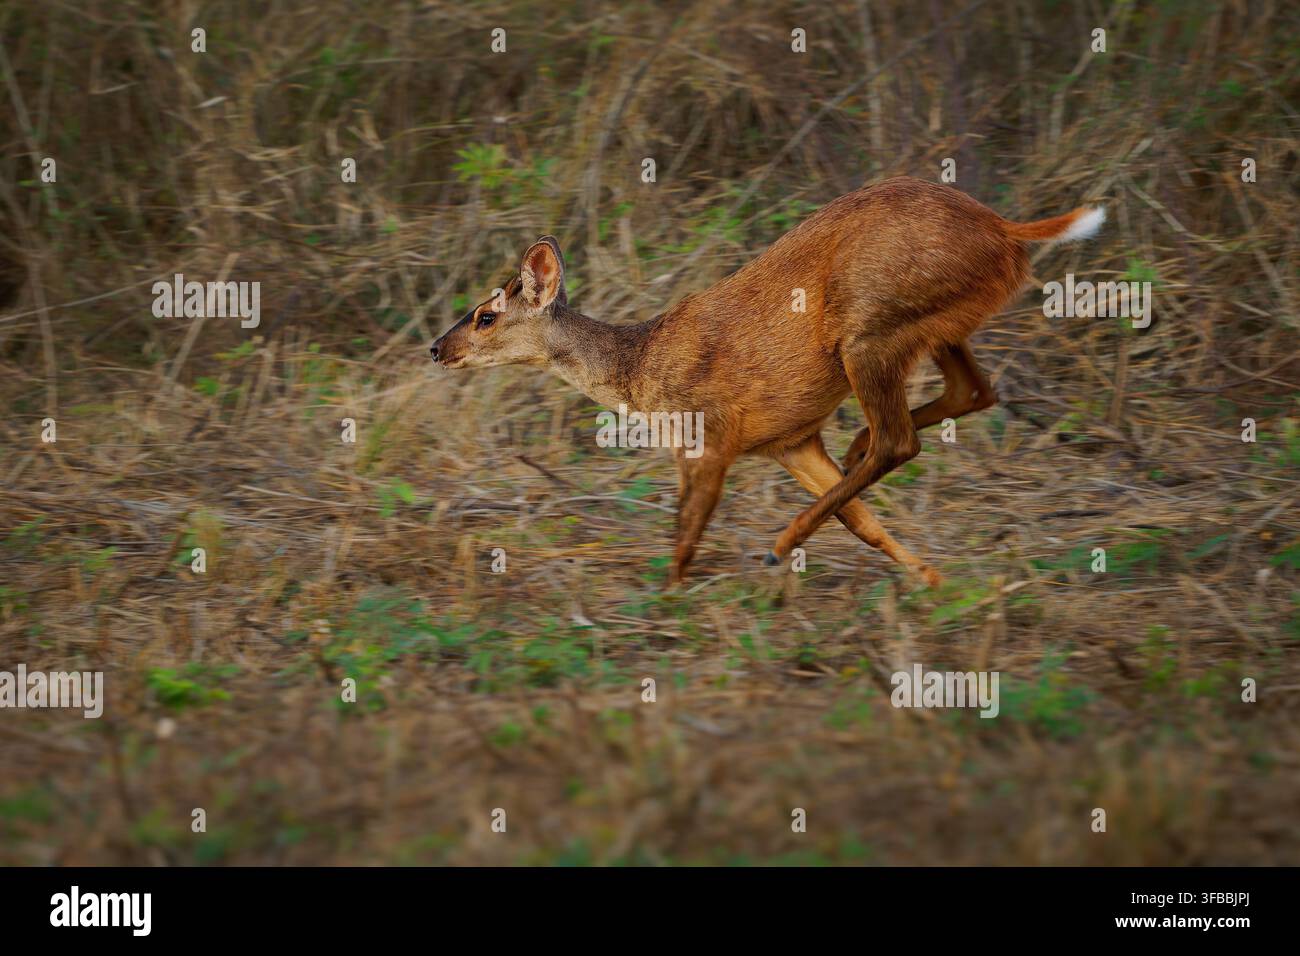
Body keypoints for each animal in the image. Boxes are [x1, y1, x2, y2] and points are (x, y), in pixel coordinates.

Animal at [430, 176, 1103, 588]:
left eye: (486, 315)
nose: (437, 348)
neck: (639, 368)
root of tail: (1006, 229)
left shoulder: (707, 436)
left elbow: (686, 529)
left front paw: (667, 595)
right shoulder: (789, 441)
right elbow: (861, 521)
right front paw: (930, 578)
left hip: (869, 328)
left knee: (901, 439)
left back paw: (781, 542)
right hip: (935, 324)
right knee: (974, 392)